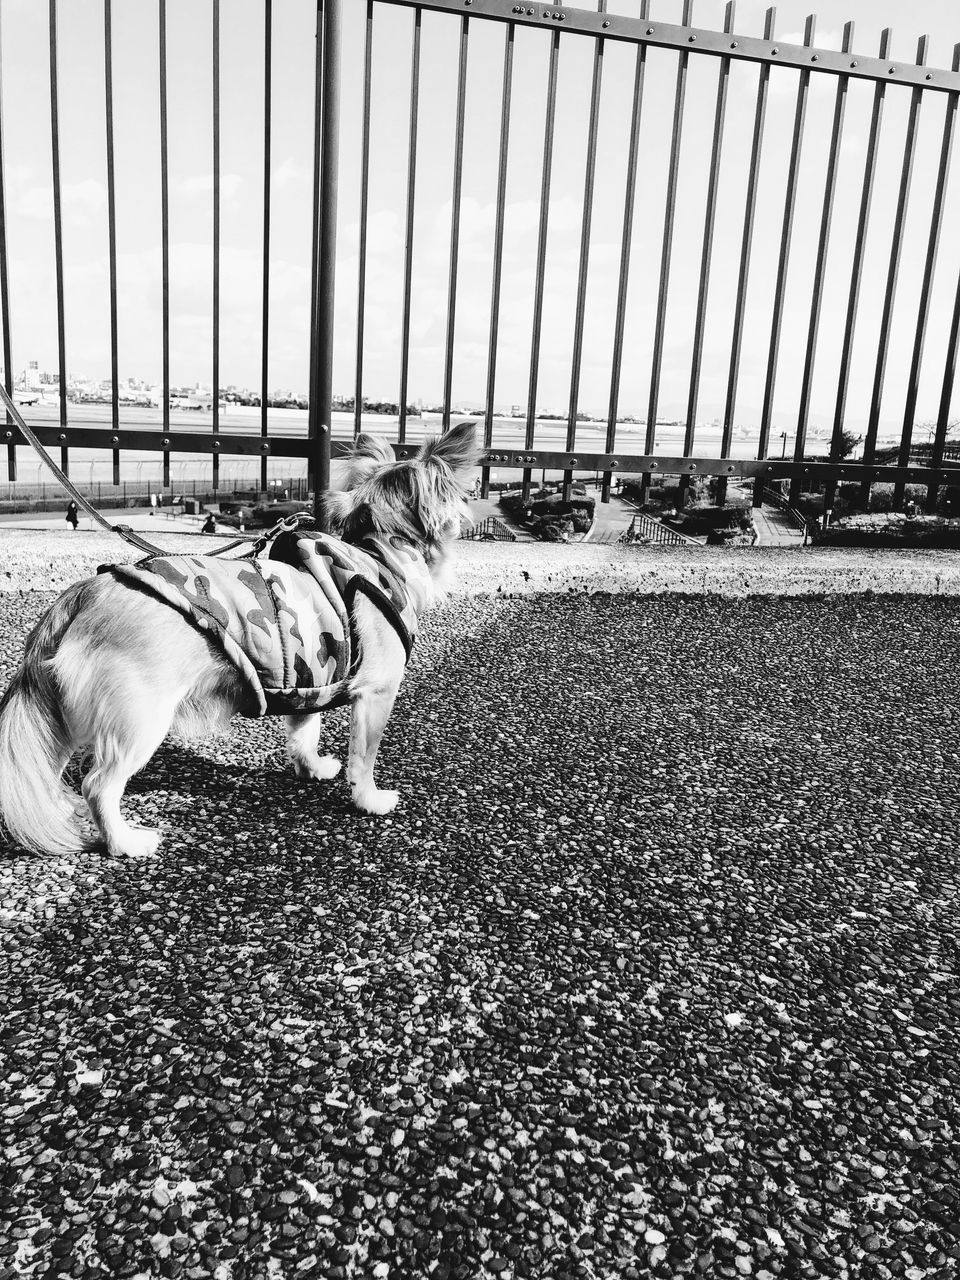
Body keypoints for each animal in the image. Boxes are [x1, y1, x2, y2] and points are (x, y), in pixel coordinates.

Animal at [0, 422, 481, 860]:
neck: (378, 552)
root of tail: (84, 591)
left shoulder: (309, 679)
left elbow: (304, 733)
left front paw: (312, 768)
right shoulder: (376, 693)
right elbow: (364, 756)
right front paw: (369, 800)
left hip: (67, 716)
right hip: (140, 720)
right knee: (98, 785)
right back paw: (126, 842)